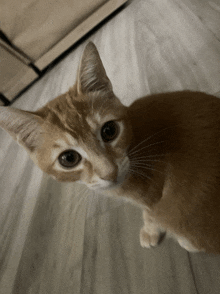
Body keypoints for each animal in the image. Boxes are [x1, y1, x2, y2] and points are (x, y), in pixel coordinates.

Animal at [0, 42, 220, 254]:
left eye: (109, 131)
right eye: (69, 158)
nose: (110, 172)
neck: (136, 143)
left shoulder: (155, 196)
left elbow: (152, 213)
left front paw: (156, 231)